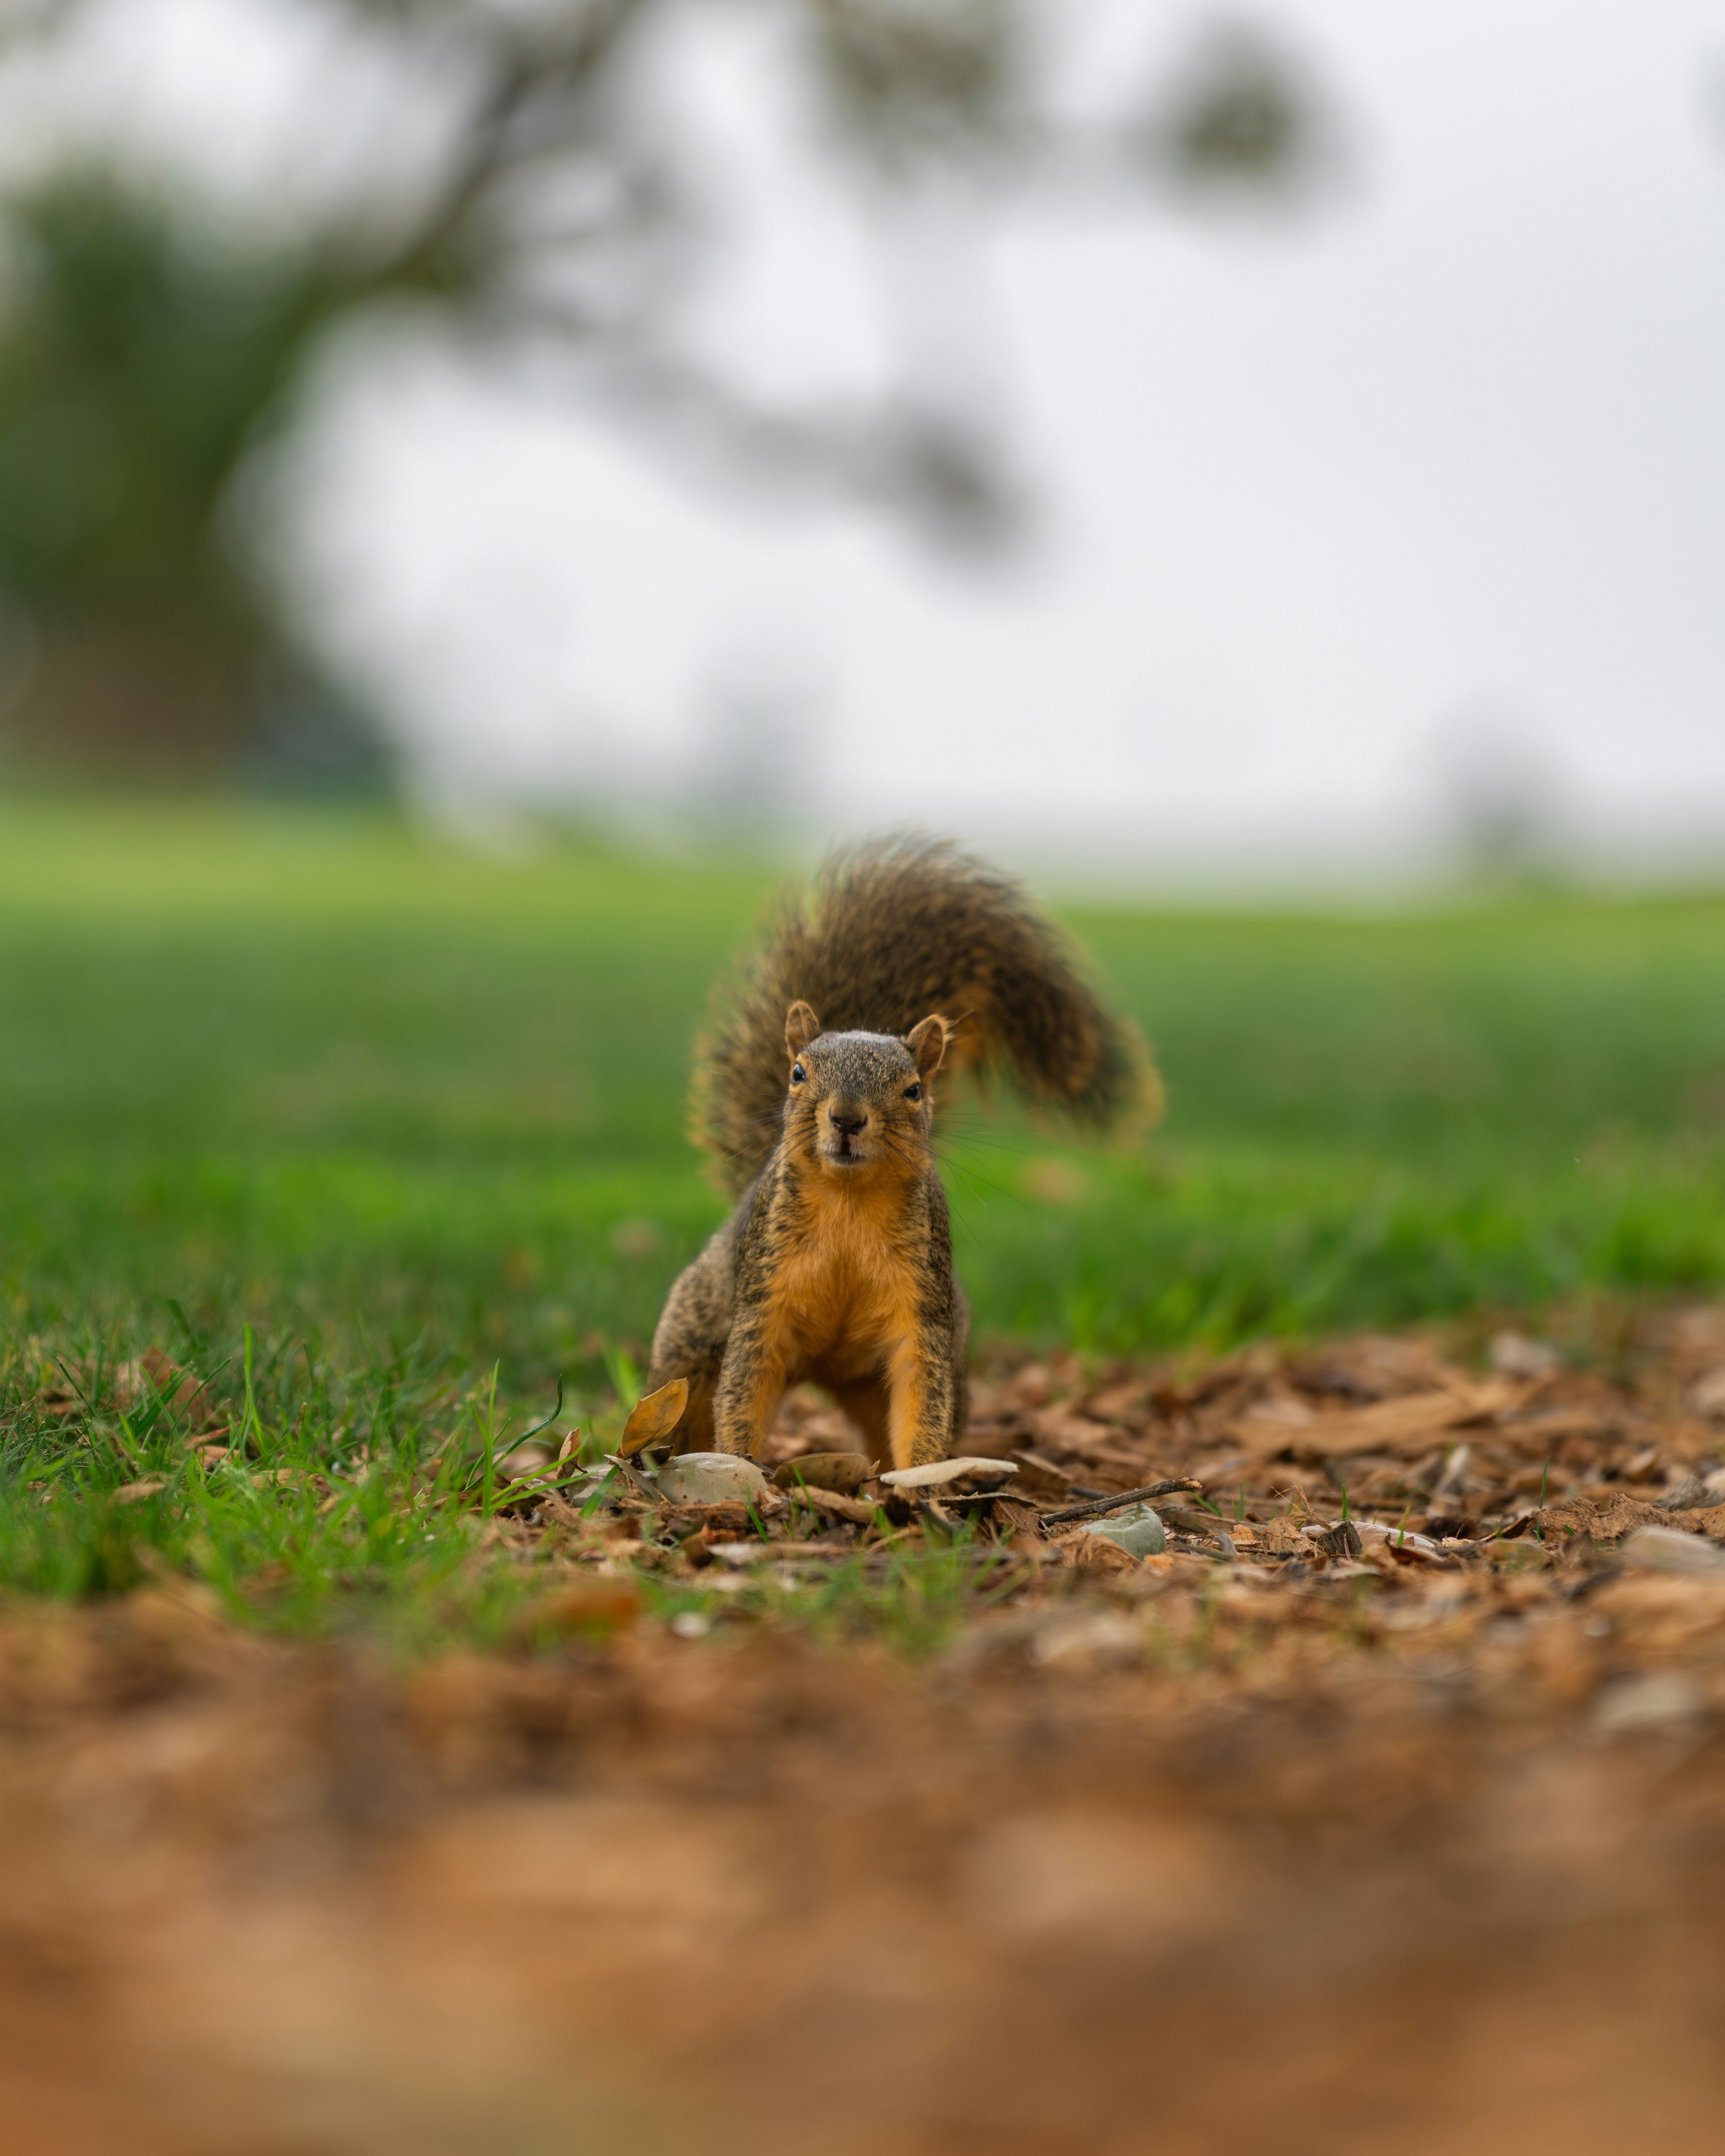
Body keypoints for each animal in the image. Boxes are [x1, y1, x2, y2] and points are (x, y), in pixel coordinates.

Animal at [644, 836, 1158, 1468]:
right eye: (797, 1073)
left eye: (913, 1090)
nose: (846, 1118)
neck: (848, 1200)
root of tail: (826, 1372)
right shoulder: (762, 1302)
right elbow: (744, 1390)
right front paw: (742, 1463)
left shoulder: (922, 1308)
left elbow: (923, 1398)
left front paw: (922, 1476)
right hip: (691, 1336)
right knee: (684, 1392)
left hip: (882, 1379)